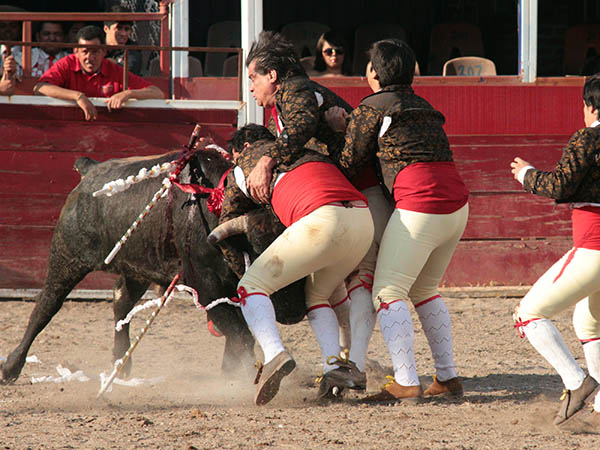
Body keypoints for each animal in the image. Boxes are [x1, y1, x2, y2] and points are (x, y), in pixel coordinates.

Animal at [0, 148, 308, 384]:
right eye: (259, 246)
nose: (295, 310)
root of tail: (90, 170)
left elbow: (238, 334)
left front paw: (230, 373)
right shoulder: (206, 287)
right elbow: (241, 335)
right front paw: (237, 378)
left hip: (137, 269)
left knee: (121, 302)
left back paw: (121, 363)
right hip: (66, 256)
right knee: (46, 306)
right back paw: (11, 367)